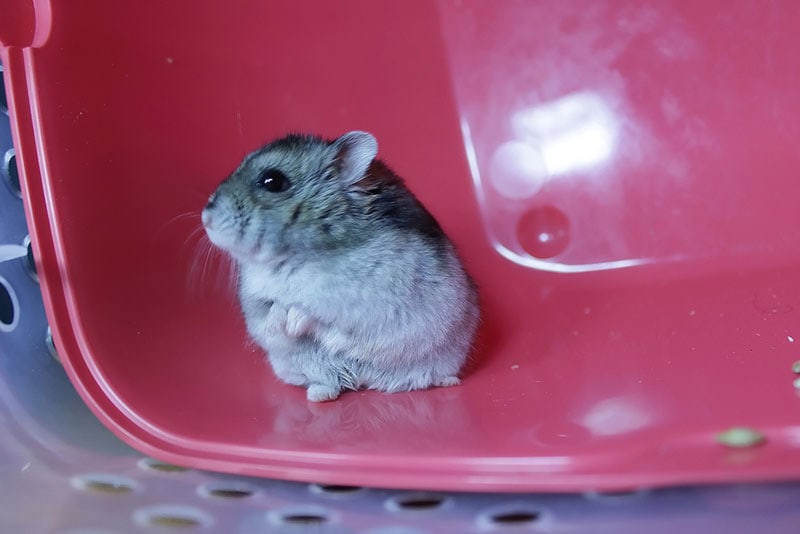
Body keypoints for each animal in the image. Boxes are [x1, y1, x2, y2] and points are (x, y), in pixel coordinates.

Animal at [202, 131, 479, 402]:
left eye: (273, 181)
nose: (206, 219)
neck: (294, 257)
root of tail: (364, 381)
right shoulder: (257, 307)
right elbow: (271, 317)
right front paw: (286, 321)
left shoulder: (378, 303)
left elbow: (324, 319)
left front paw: (300, 323)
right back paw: (319, 395)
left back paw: (447, 381)